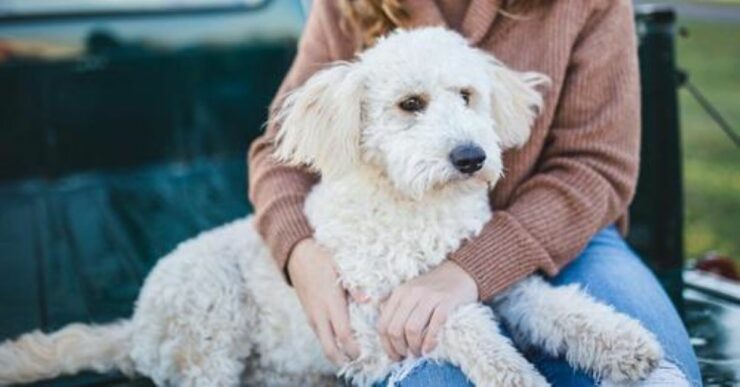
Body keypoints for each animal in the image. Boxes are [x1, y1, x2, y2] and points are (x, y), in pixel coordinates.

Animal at [0, 28, 660, 387]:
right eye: (410, 104)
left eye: (468, 94)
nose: (471, 156)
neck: (416, 207)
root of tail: (134, 328)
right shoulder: (383, 322)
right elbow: (468, 330)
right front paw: (517, 373)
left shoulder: (495, 282)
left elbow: (565, 308)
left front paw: (626, 343)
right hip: (209, 316)